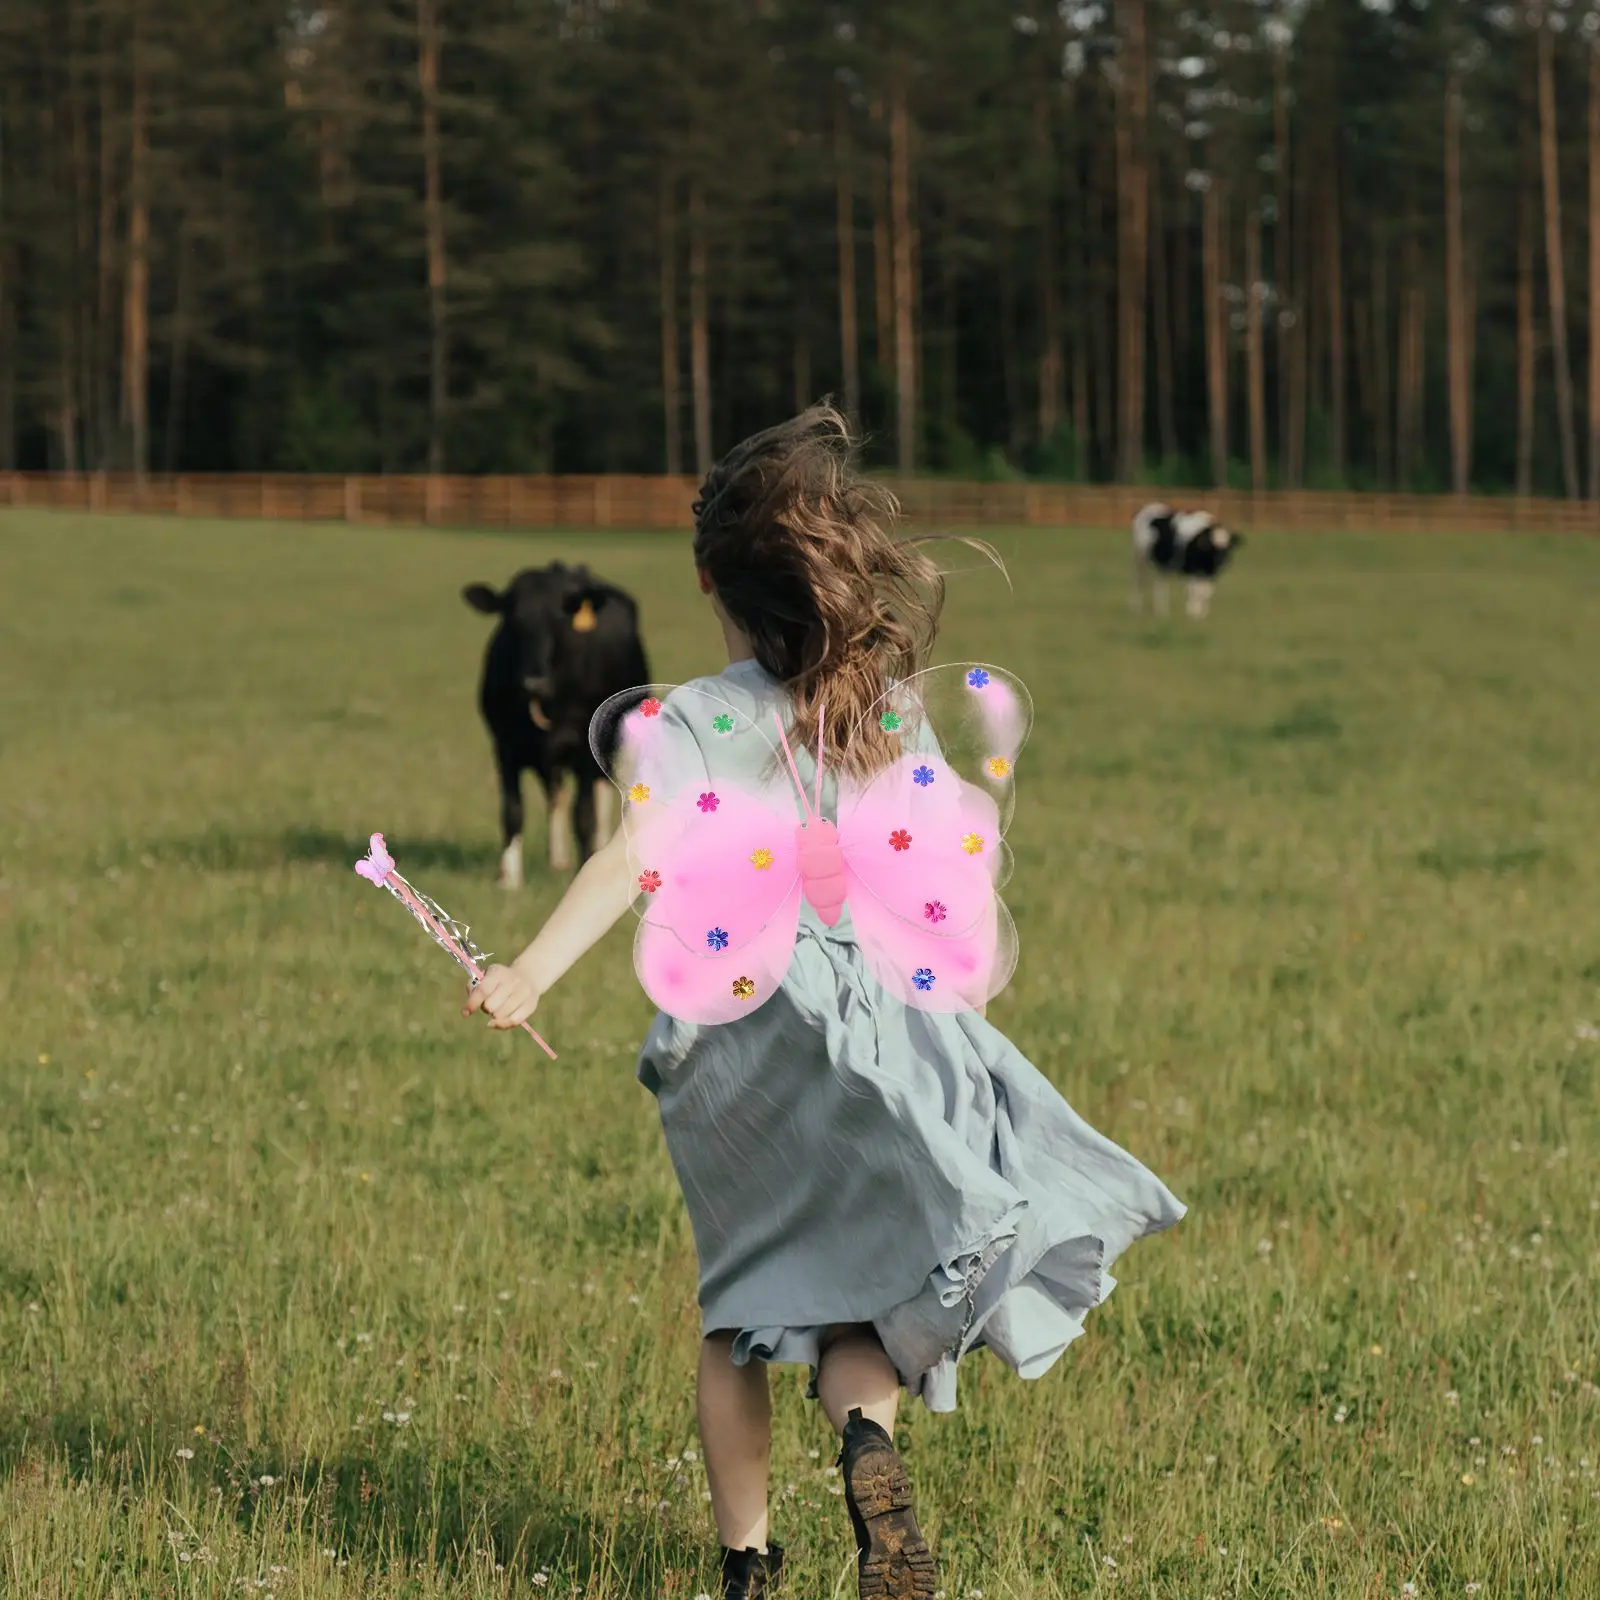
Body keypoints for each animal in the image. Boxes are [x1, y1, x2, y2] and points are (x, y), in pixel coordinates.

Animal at [460, 563, 646, 889]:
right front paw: (509, 879)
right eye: (511, 620)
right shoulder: (505, 745)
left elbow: (584, 815)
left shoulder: (585, 748)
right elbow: (513, 811)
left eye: (559, 619)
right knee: (556, 794)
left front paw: (584, 867)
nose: (534, 682)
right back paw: (557, 860)